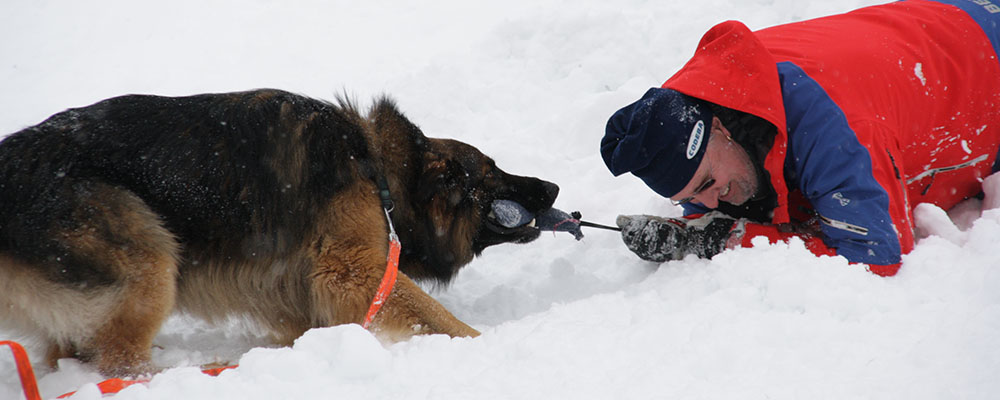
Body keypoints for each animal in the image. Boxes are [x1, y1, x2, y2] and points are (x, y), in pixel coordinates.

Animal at [0, 89, 564, 376]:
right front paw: (481, 346)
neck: (376, 169)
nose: (554, 186)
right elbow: (436, 315)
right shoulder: (352, 270)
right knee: (117, 356)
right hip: (150, 257)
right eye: (491, 172)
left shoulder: (294, 288)